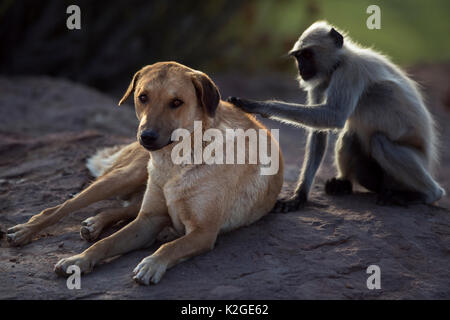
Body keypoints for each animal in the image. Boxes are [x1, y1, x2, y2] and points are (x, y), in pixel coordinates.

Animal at [6, 62, 282, 284]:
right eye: (143, 97)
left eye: (176, 102)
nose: (146, 136)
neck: (175, 162)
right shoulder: (148, 221)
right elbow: (108, 242)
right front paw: (78, 260)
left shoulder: (203, 232)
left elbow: (170, 247)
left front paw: (151, 264)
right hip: (124, 177)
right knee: (62, 207)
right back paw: (25, 230)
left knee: (127, 208)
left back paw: (94, 223)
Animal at [229, 20, 446, 212]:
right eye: (298, 57)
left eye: (307, 54)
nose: (301, 68)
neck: (339, 62)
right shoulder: (319, 82)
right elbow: (319, 132)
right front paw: (299, 196)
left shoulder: (350, 70)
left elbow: (334, 116)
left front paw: (259, 105)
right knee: (350, 135)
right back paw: (343, 183)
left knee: (379, 141)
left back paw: (426, 194)